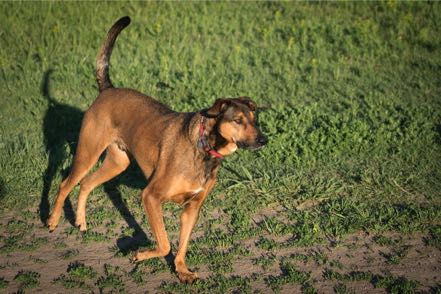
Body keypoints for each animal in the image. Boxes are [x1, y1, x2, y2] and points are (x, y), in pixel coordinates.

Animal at [46, 16, 266, 282]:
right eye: (238, 120)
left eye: (255, 119)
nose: (263, 140)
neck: (204, 147)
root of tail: (108, 89)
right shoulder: (150, 196)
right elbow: (165, 244)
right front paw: (140, 254)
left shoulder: (192, 209)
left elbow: (181, 245)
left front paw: (181, 270)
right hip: (88, 152)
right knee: (65, 184)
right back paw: (53, 221)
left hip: (118, 162)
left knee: (87, 183)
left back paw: (80, 221)